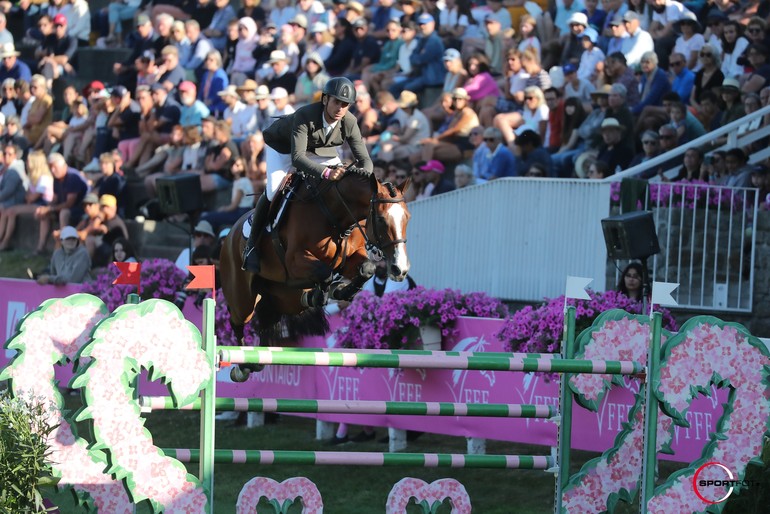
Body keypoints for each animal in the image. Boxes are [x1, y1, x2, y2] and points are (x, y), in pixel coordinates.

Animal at [219, 170, 412, 374]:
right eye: (381, 219)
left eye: (407, 217)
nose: (400, 269)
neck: (336, 215)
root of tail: (230, 233)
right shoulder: (295, 260)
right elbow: (325, 273)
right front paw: (327, 293)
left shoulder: (350, 258)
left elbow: (367, 268)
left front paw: (341, 291)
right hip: (243, 299)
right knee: (237, 320)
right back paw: (243, 366)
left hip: (281, 295)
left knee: (270, 316)